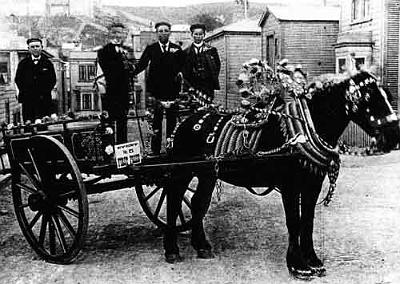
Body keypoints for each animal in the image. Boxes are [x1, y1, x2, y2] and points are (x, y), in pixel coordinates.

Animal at [161, 61, 398, 278]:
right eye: (368, 98)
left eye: (388, 96)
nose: (394, 135)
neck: (304, 130)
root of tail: (186, 121)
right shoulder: (290, 185)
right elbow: (294, 221)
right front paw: (298, 265)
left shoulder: (312, 184)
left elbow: (308, 221)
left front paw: (312, 259)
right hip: (183, 172)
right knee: (173, 201)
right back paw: (171, 249)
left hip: (207, 174)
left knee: (197, 203)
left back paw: (201, 245)